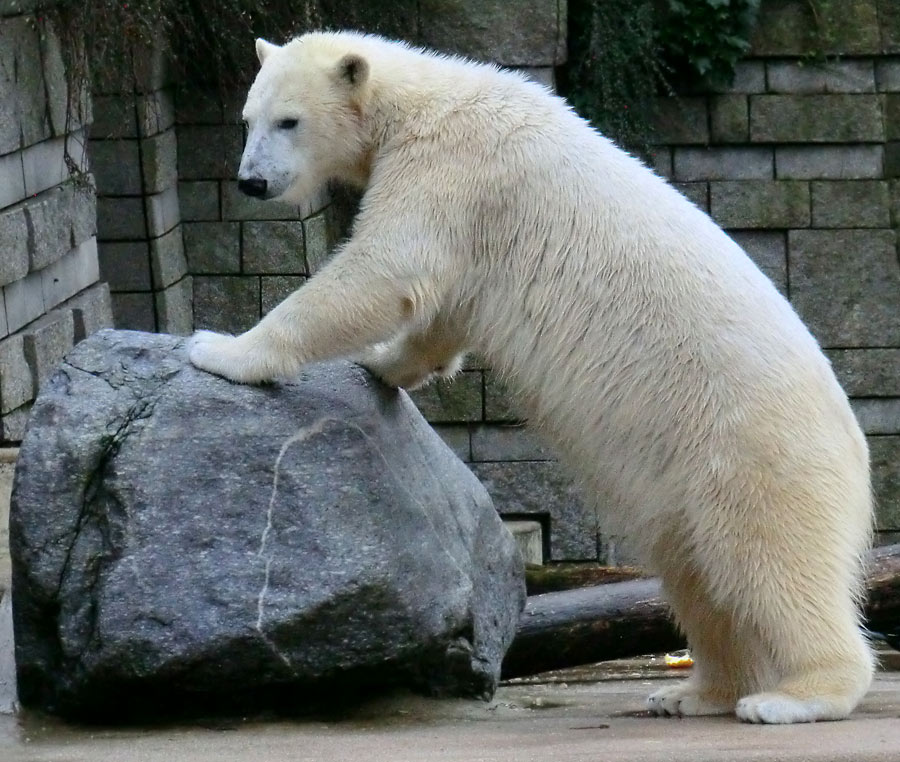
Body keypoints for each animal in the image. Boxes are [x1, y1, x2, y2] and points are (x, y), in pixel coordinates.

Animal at [188, 31, 872, 720]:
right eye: (247, 119)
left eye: (289, 121)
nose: (250, 181)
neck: (423, 102)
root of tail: (856, 447)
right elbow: (442, 312)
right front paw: (381, 362)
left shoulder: (452, 170)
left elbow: (389, 268)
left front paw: (221, 348)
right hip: (681, 479)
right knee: (695, 573)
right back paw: (693, 692)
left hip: (749, 448)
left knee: (765, 559)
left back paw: (792, 697)